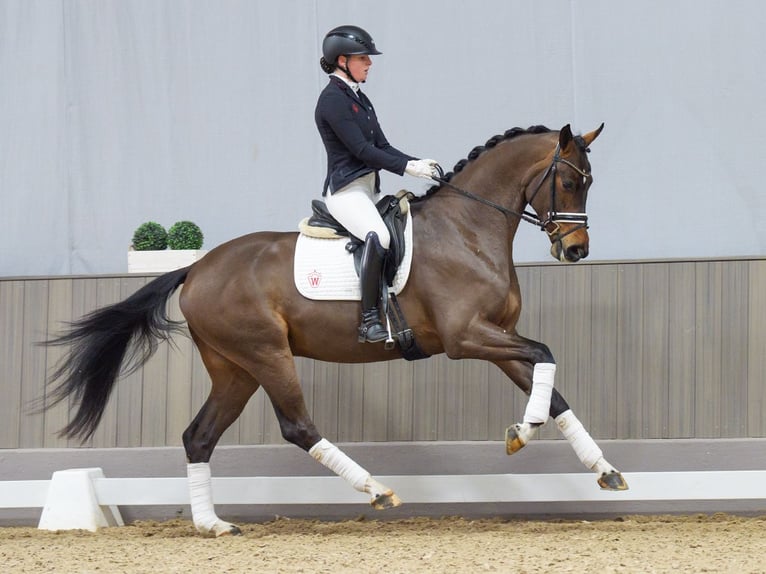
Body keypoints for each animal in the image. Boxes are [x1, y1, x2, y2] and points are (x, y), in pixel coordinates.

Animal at [43, 124, 632, 536]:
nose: (575, 251)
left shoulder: (497, 336)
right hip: (266, 355)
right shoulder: (466, 338)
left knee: (199, 436)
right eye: (570, 181)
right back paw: (377, 490)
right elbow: (547, 354)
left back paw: (213, 524)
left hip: (234, 368)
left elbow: (551, 387)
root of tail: (197, 268)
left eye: (589, 183)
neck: (467, 229)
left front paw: (599, 468)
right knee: (297, 426)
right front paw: (522, 431)